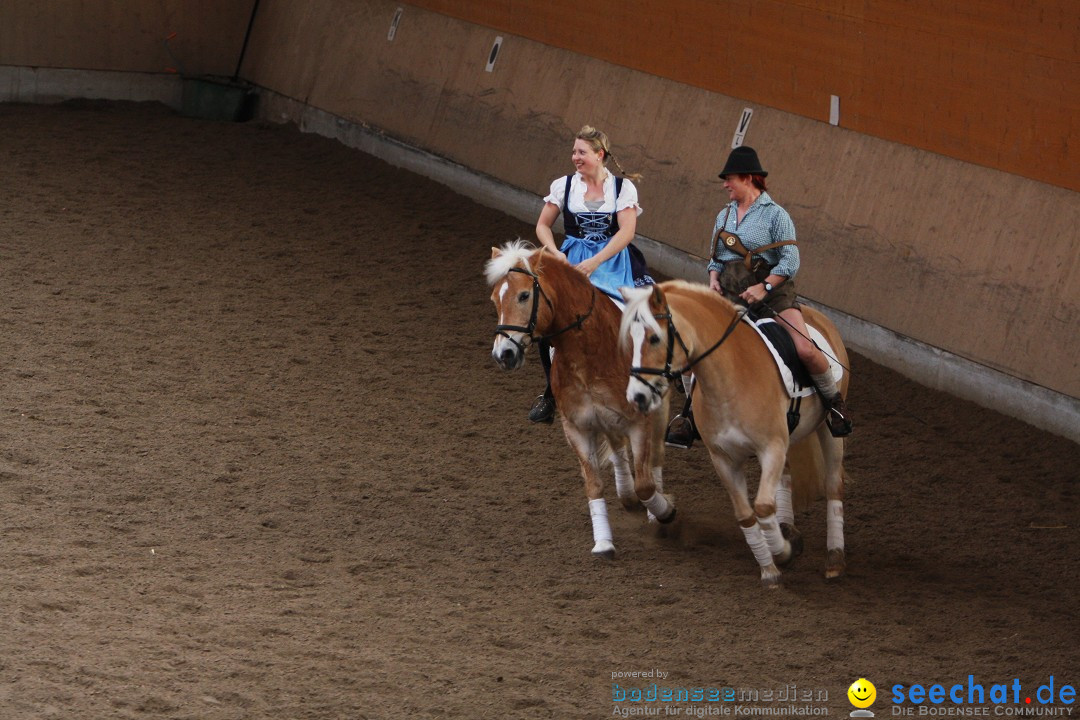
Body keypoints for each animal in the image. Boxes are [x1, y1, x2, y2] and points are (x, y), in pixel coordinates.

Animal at [488, 241, 673, 557]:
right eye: (494, 300)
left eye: (524, 295)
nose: (504, 355)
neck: (590, 354)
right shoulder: (576, 426)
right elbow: (594, 484)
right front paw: (603, 541)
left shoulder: (639, 421)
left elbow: (646, 484)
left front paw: (664, 512)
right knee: (618, 450)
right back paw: (625, 493)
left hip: (658, 412)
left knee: (654, 459)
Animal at [622, 280, 846, 587]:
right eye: (630, 340)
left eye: (655, 338)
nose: (637, 397)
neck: (730, 379)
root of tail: (819, 315)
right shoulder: (724, 458)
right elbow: (746, 515)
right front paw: (770, 568)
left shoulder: (771, 448)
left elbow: (762, 507)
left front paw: (783, 552)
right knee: (786, 477)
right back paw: (788, 528)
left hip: (828, 430)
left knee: (833, 485)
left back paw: (834, 559)